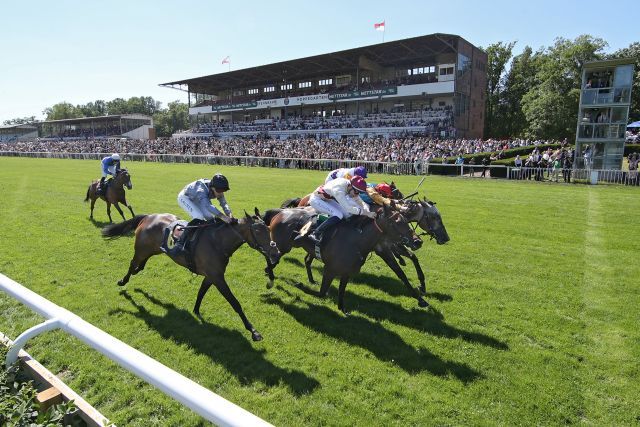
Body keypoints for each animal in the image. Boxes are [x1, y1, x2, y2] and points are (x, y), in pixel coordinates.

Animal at [102, 212, 280, 342]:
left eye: (269, 228)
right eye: (258, 231)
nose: (276, 253)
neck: (218, 242)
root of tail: (148, 216)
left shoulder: (212, 276)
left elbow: (201, 292)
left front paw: (196, 310)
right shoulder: (217, 278)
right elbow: (234, 302)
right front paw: (253, 331)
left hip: (154, 250)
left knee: (140, 267)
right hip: (141, 250)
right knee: (132, 265)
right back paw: (123, 281)